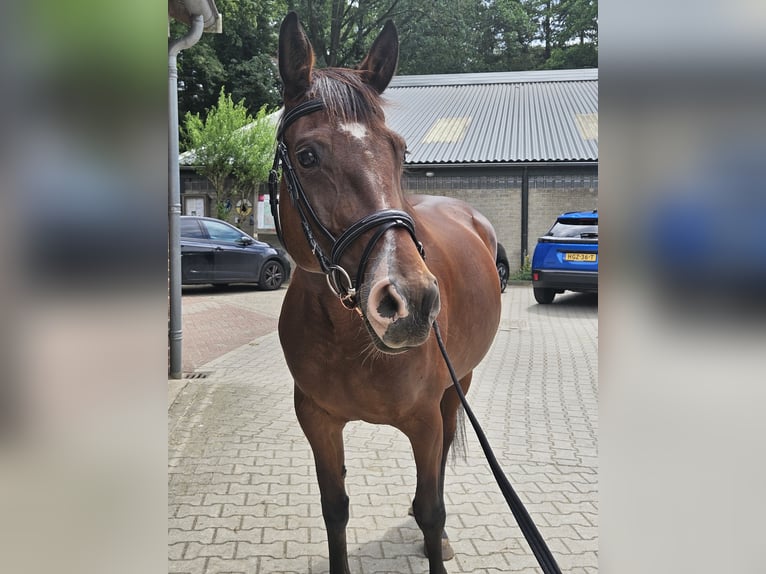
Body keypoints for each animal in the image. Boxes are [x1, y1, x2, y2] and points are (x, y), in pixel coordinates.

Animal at [272, 12, 502, 574]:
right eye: (307, 156)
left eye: (399, 152)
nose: (411, 302)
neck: (347, 337)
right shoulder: (317, 421)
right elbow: (334, 510)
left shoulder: (424, 421)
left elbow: (432, 511)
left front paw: (435, 536)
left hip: (457, 386)